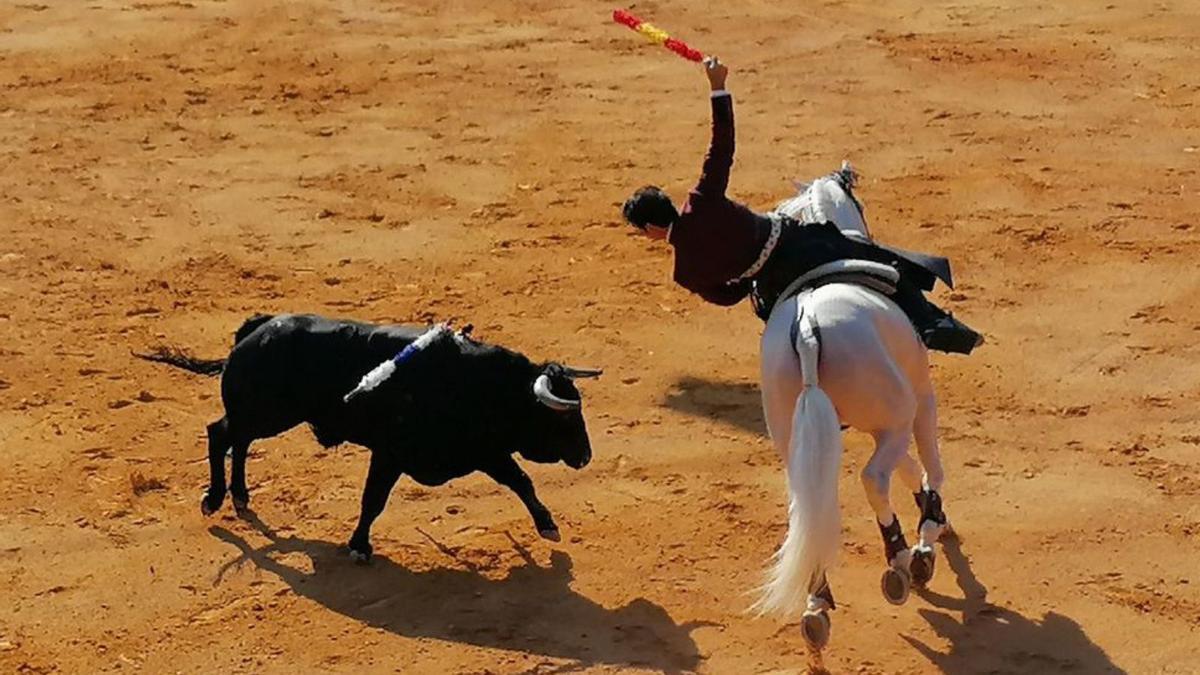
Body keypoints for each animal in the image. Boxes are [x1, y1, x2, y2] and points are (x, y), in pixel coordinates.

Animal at [139, 312, 600, 559]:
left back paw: (239, 496)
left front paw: (548, 526)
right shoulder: (391, 453)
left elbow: (521, 481)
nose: (585, 456)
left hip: (264, 416)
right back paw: (215, 498)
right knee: (221, 434)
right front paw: (359, 545)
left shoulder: (485, 450)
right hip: (266, 414)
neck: (485, 387)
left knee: (239, 441)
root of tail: (259, 327)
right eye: (564, 420)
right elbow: (373, 499)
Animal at [753, 163, 950, 648]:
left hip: (792, 433)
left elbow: (910, 465)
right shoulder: (920, 397)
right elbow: (929, 462)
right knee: (873, 478)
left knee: (809, 507)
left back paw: (817, 604)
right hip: (896, 413)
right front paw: (928, 533)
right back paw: (899, 561)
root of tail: (807, 332)